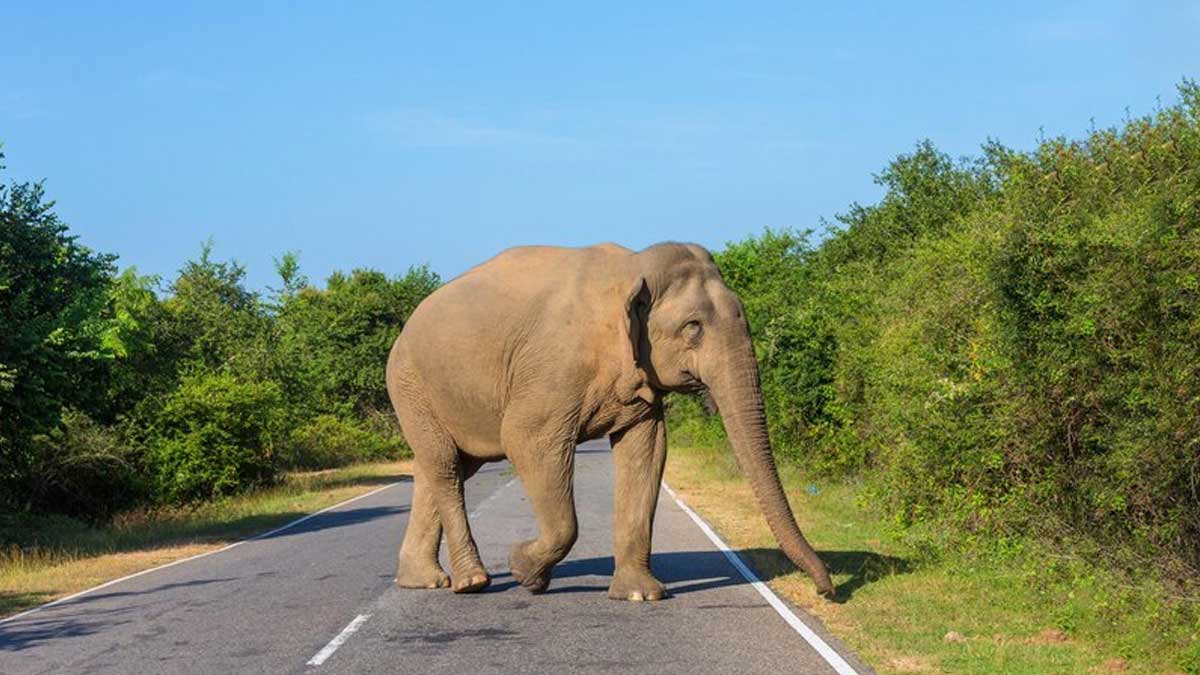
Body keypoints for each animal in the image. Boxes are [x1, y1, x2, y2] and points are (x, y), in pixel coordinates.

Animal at [386, 241, 835, 598]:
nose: (826, 590)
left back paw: (423, 581)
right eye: (693, 327)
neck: (632, 268)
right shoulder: (553, 369)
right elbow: (526, 439)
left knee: (443, 467)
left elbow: (648, 449)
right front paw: (525, 571)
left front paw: (641, 595)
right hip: (410, 383)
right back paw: (473, 582)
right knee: (445, 465)